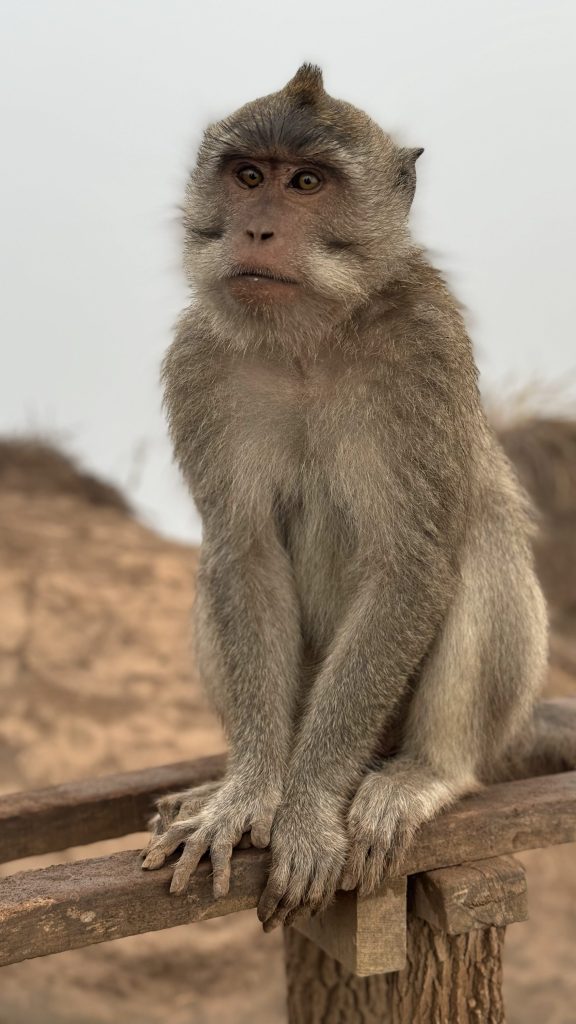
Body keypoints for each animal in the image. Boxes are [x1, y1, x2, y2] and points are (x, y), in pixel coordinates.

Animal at [142, 63, 557, 933]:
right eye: (249, 176)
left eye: (307, 183)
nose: (258, 232)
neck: (308, 337)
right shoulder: (200, 360)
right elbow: (244, 554)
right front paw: (250, 793)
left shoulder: (426, 349)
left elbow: (411, 565)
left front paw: (305, 811)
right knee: (214, 570)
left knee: (478, 543)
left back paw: (426, 773)